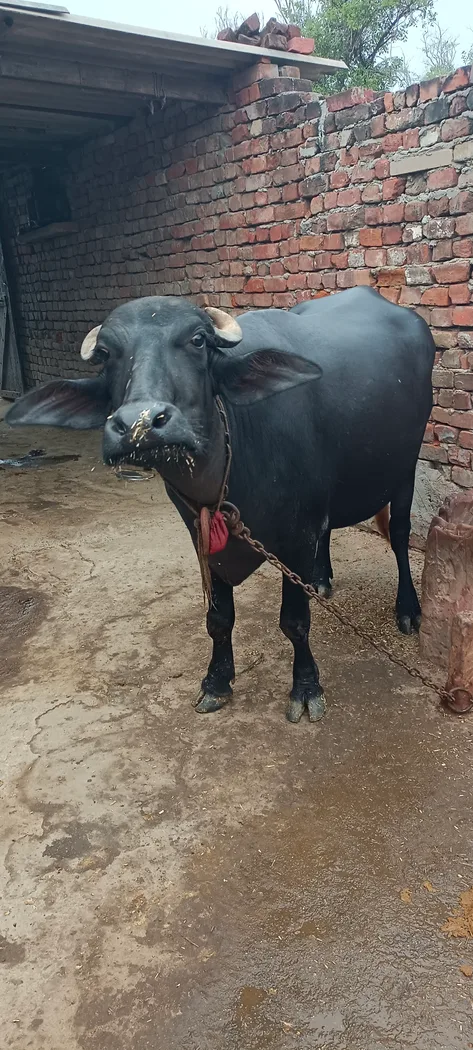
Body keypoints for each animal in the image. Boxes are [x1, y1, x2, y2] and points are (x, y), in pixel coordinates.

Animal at [7, 288, 435, 722]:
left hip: (406, 467)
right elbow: (218, 619)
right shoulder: (204, 537)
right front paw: (216, 681)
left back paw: (408, 608)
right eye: (107, 353)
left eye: (198, 340)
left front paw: (306, 688)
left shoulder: (296, 538)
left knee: (400, 535)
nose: (140, 424)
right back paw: (320, 578)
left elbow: (295, 622)